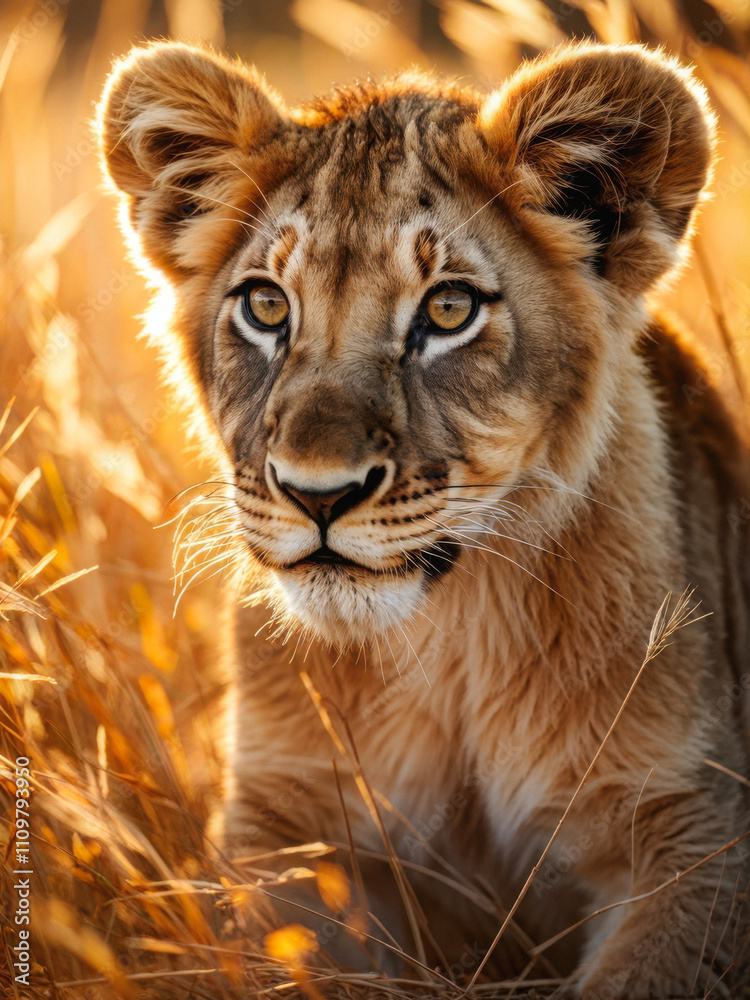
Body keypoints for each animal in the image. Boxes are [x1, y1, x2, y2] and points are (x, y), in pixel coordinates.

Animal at [98, 39, 750, 998]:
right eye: (266, 306)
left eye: (448, 309)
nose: (318, 494)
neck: (447, 645)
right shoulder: (283, 823)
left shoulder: (691, 832)